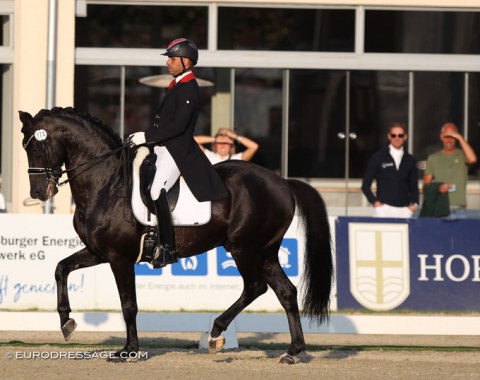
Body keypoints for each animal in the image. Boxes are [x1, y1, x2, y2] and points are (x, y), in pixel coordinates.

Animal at [19, 108, 334, 364]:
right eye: (26, 147)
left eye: (39, 144)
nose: (38, 192)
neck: (106, 183)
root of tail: (282, 182)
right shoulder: (99, 252)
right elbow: (61, 269)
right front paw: (66, 323)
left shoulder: (120, 257)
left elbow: (128, 304)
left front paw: (129, 351)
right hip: (266, 251)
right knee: (286, 292)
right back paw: (293, 352)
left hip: (244, 248)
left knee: (255, 287)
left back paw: (216, 333)